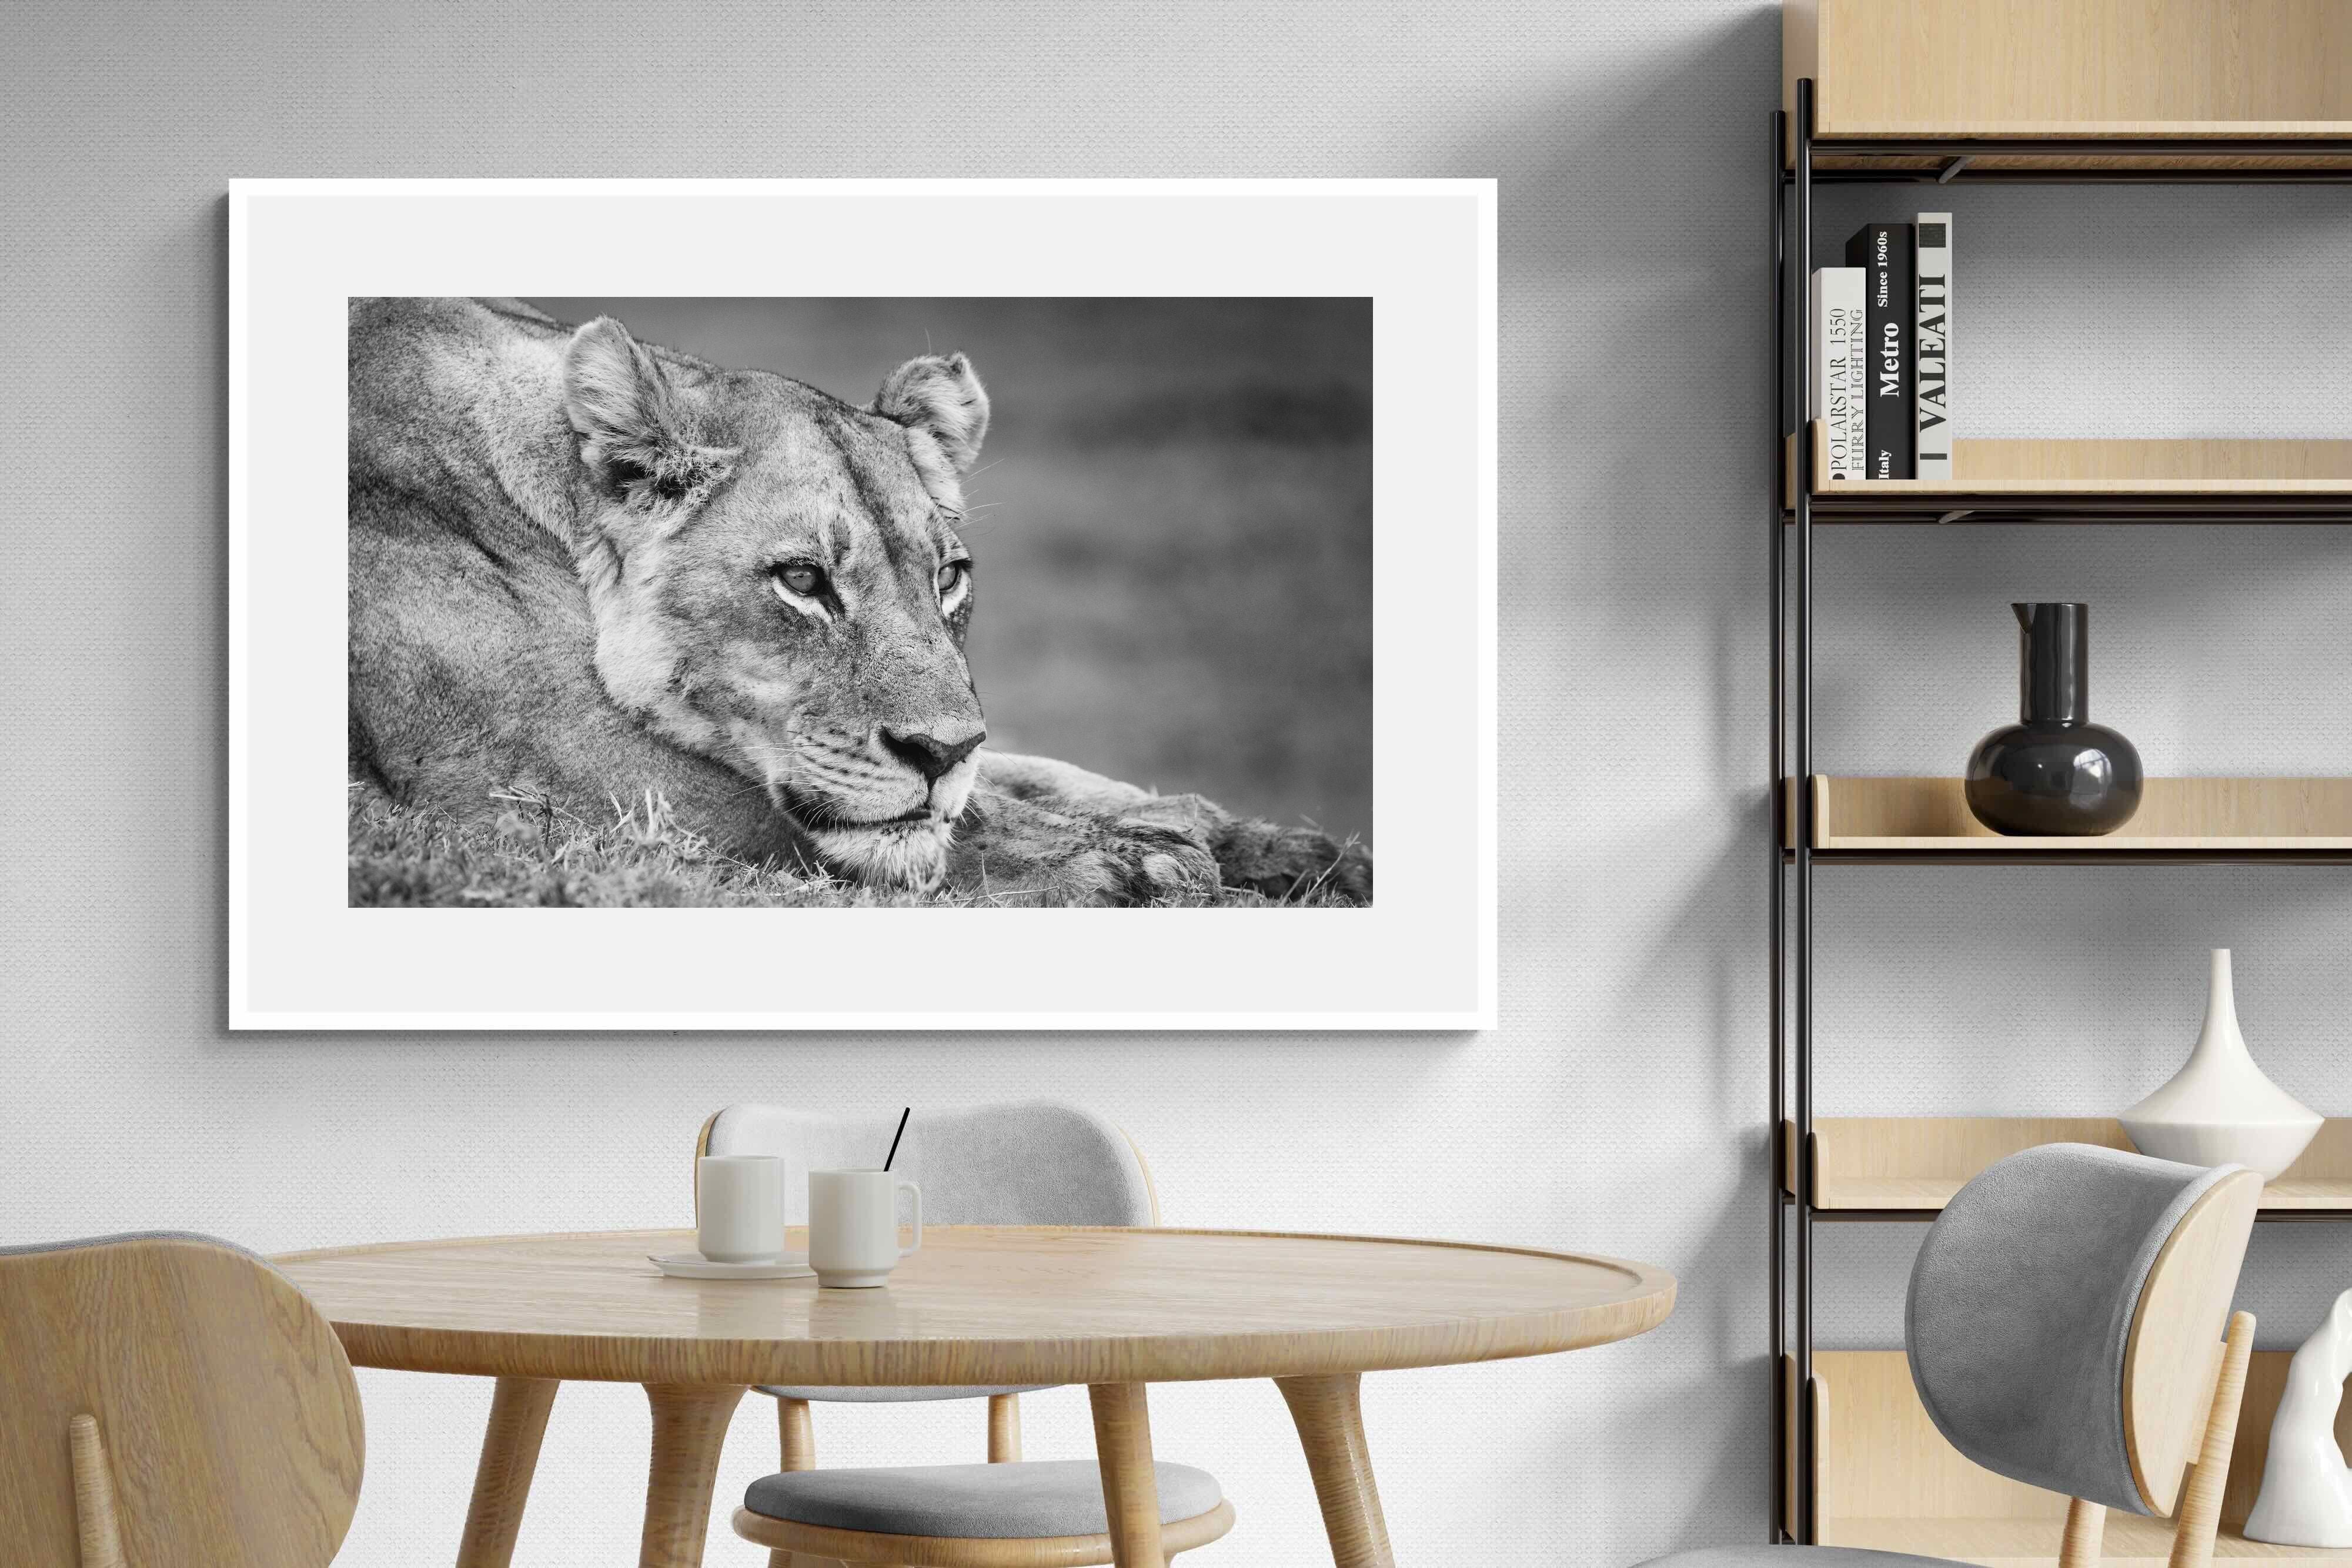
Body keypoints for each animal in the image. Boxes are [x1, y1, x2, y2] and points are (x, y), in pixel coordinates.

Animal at [347, 297, 1371, 906]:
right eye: (803, 580)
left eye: (948, 576)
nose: (940, 752)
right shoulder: (538, 773)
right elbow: (918, 827)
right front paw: (1140, 864)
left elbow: (1042, 778)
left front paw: (1294, 849)